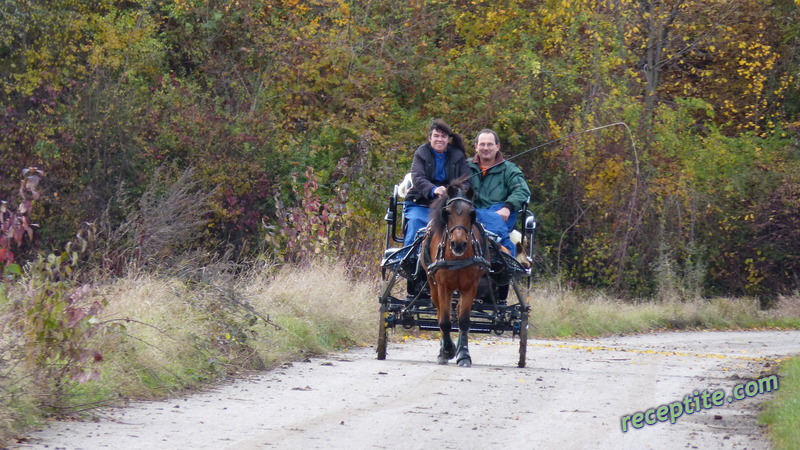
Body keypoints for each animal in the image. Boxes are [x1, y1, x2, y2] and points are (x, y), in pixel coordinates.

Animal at [422, 183, 490, 366]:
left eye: (472, 213)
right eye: (447, 212)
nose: (458, 244)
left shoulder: (470, 286)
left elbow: (464, 321)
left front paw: (463, 354)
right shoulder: (443, 286)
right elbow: (444, 321)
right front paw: (447, 350)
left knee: (458, 311)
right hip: (433, 284)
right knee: (439, 313)